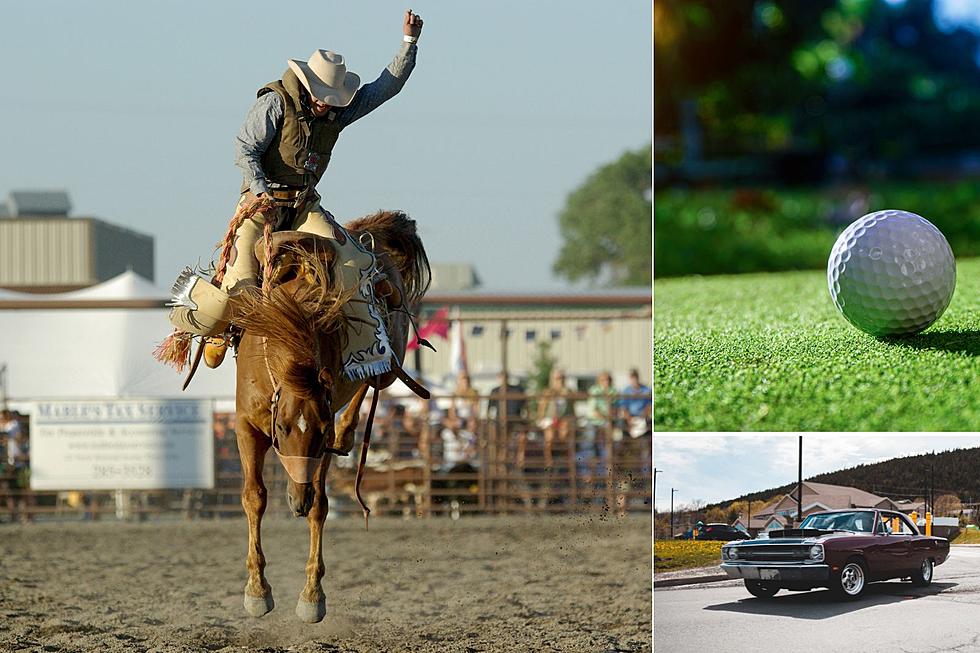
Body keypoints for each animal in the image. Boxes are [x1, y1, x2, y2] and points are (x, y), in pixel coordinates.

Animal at [232, 210, 430, 620]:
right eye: (282, 429)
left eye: (319, 432)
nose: (297, 501)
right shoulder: (245, 425)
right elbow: (254, 497)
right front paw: (257, 591)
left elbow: (321, 508)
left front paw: (312, 597)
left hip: (389, 362)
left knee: (373, 378)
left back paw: (348, 432)